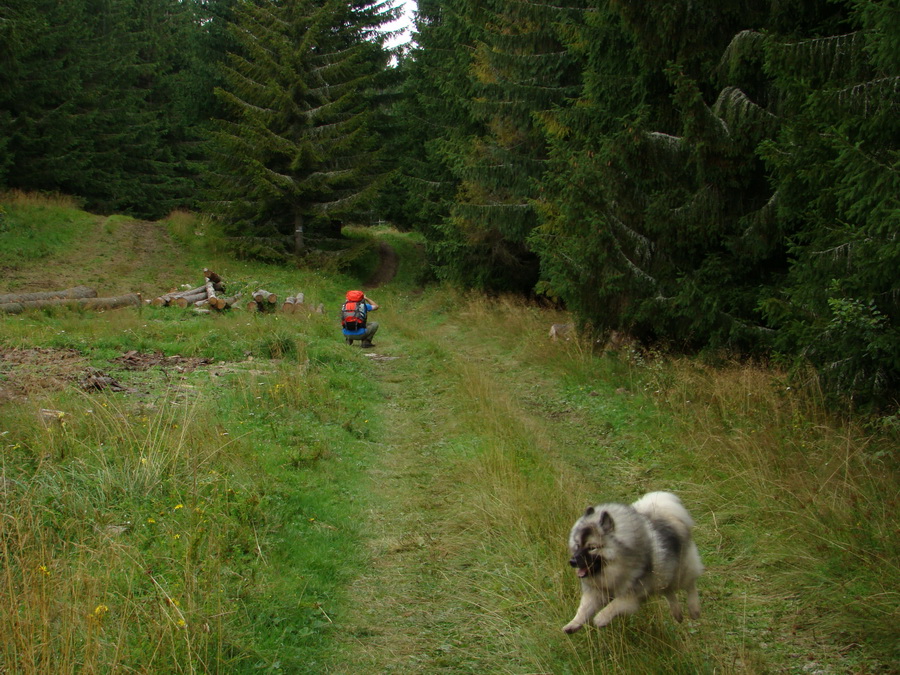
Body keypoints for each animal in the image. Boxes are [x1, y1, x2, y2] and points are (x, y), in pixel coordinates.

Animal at [564, 492, 704, 632]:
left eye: (592, 548)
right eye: (577, 545)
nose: (572, 561)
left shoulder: (633, 594)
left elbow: (615, 604)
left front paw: (601, 617)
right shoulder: (596, 591)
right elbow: (584, 608)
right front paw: (573, 624)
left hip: (680, 572)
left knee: (690, 585)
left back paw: (694, 610)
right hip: (663, 575)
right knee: (668, 591)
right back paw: (677, 613)